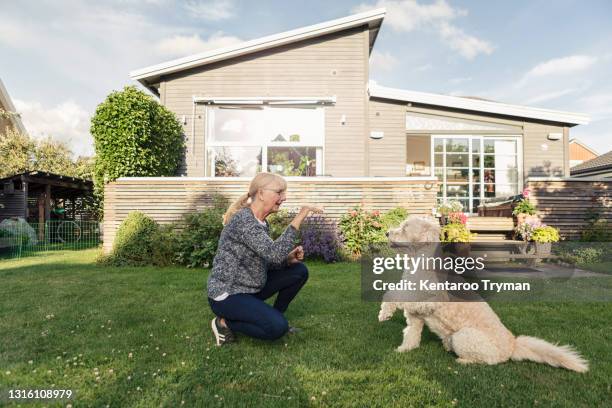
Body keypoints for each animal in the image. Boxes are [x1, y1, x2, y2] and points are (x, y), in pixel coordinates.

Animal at [378, 217, 588, 372]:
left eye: (405, 228)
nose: (387, 233)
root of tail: (513, 344)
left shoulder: (431, 299)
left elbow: (394, 294)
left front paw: (385, 311)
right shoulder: (416, 317)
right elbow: (411, 334)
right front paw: (404, 349)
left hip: (463, 336)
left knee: (489, 361)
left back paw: (463, 361)